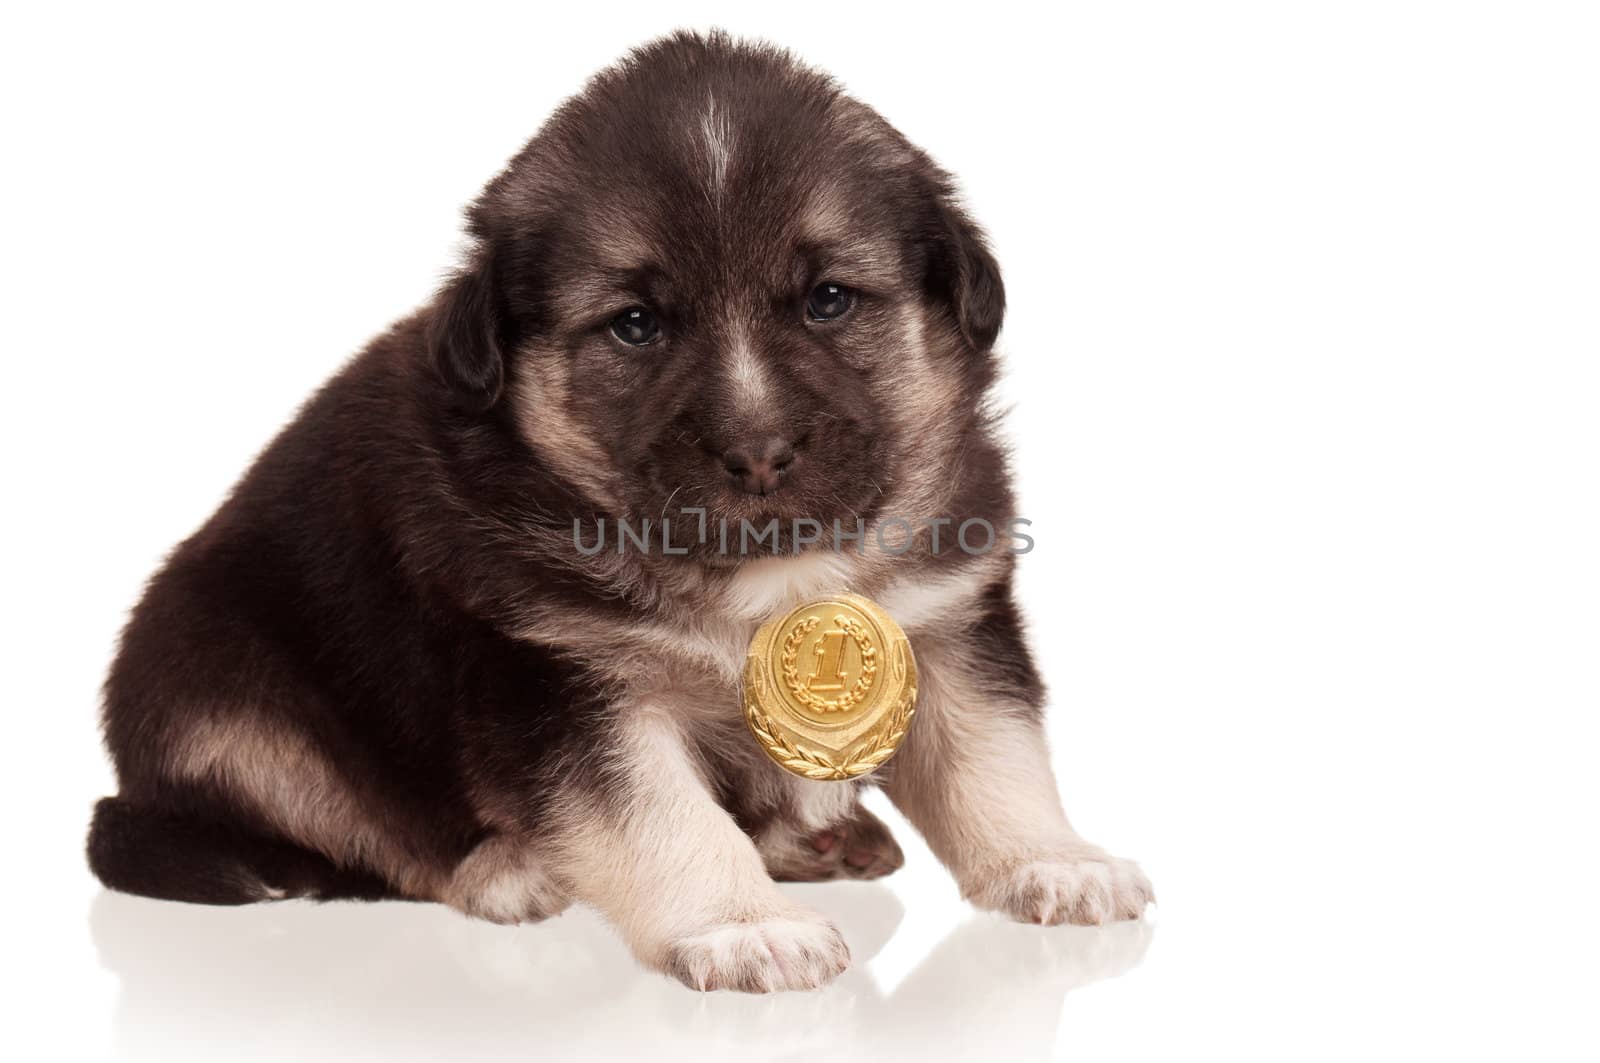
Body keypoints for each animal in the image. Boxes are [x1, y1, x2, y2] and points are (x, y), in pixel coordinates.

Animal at [87, 35, 1152, 998]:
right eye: (636, 324)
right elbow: (658, 814)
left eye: (828, 300)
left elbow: (993, 754)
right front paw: (743, 926)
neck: (761, 570)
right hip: (225, 694)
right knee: (356, 831)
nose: (758, 451)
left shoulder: (948, 618)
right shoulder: (562, 676)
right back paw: (506, 870)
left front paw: (1053, 860)